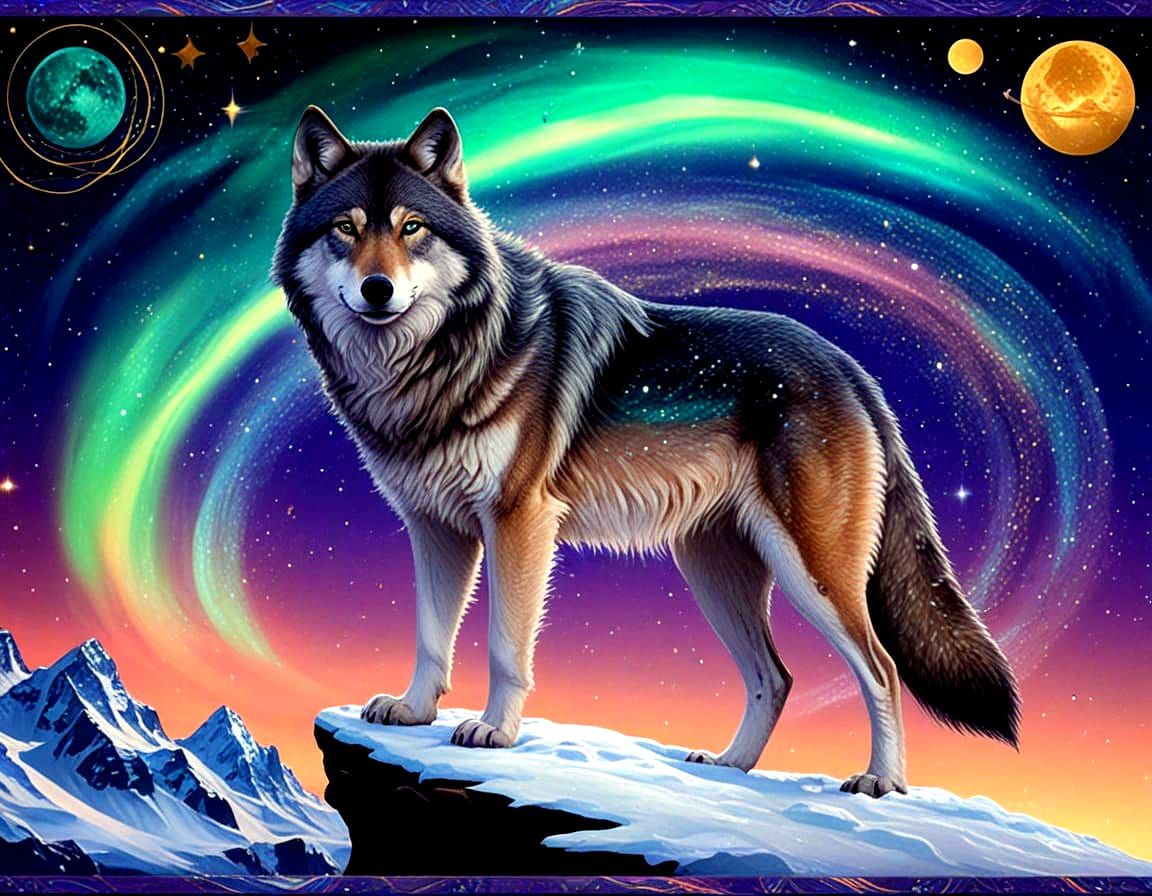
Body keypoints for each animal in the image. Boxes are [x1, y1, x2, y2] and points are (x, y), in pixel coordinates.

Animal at [273, 106, 1019, 797]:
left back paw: (882, 782)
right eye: (346, 229)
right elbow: (431, 637)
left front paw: (495, 732)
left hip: (812, 573)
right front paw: (414, 711)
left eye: (411, 229)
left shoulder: (518, 521)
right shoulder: (435, 529)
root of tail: (854, 370)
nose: (377, 290)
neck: (438, 359)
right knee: (775, 677)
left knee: (882, 669)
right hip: (714, 571)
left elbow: (506, 645)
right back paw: (730, 767)